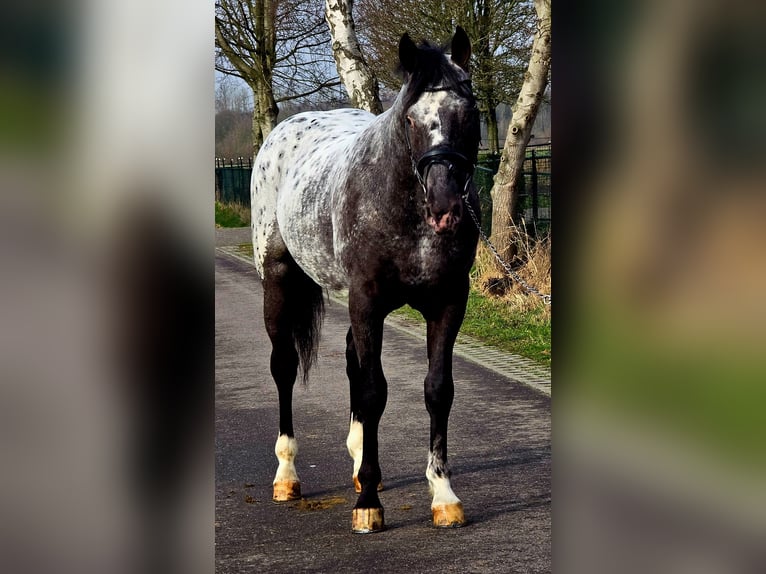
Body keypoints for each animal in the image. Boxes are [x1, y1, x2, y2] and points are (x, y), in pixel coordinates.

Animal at [251, 27, 480, 533]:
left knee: (353, 360)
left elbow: (438, 390)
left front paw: (443, 495)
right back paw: (287, 475)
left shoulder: (448, 302)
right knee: (284, 366)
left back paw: (359, 465)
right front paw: (369, 505)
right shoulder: (368, 301)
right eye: (412, 120)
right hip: (277, 281)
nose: (446, 208)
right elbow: (374, 393)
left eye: (468, 113)